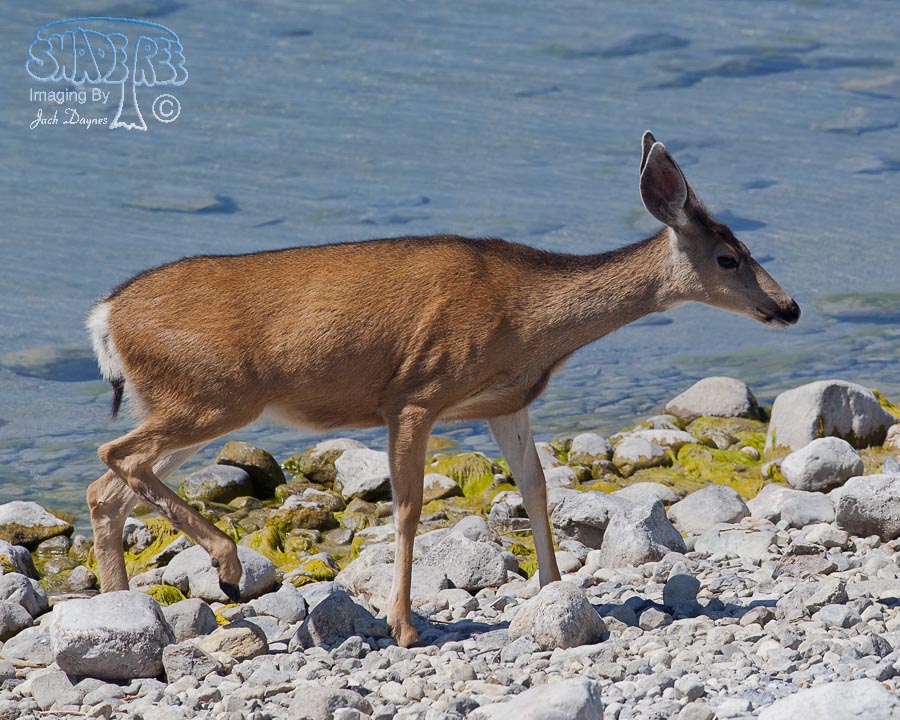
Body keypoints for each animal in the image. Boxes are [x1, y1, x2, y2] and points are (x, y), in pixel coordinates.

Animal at [86, 131, 799, 647]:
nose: (789, 307)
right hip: (214, 395)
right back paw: (227, 567)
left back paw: (125, 607)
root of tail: (105, 317)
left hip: (192, 401)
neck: (529, 320)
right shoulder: (415, 393)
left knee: (108, 490)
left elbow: (537, 488)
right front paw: (403, 626)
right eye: (729, 257)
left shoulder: (508, 402)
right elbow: (407, 510)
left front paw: (554, 593)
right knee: (114, 458)